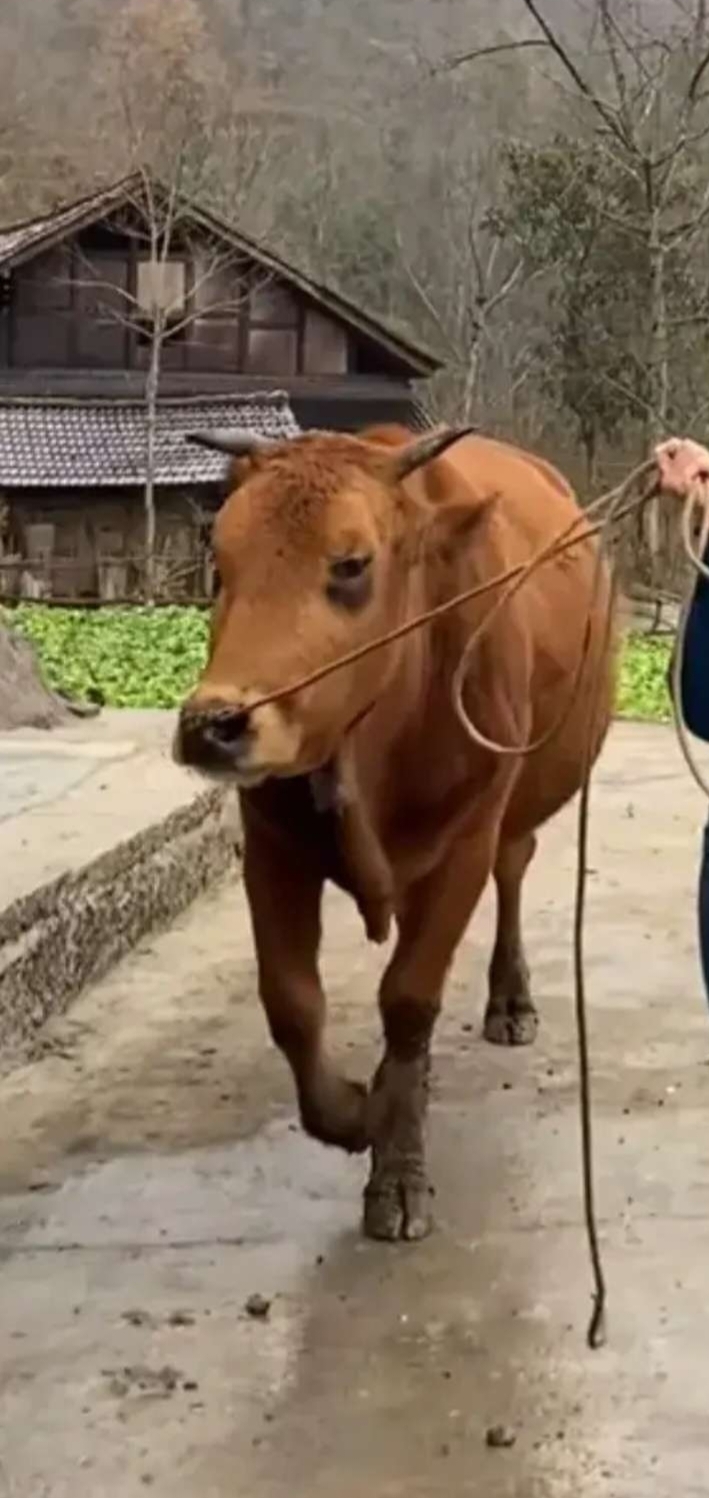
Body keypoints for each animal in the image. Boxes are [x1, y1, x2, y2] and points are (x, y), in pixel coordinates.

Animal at [175, 424, 615, 1241]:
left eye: (351, 564)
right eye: (220, 563)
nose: (212, 726)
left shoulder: (466, 842)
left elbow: (409, 997)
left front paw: (396, 1167)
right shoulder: (271, 846)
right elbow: (292, 1004)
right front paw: (361, 1111)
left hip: (514, 811)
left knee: (512, 872)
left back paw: (509, 1003)